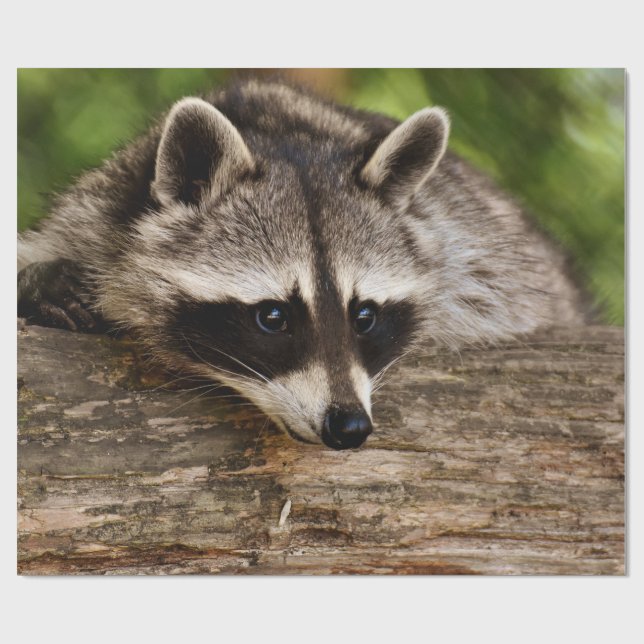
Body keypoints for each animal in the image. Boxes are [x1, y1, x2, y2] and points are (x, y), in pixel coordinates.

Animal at [17, 79, 587, 449]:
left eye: (365, 316)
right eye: (273, 317)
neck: (279, 131)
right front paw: (42, 283)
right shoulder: (94, 211)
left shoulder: (475, 251)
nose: (349, 428)